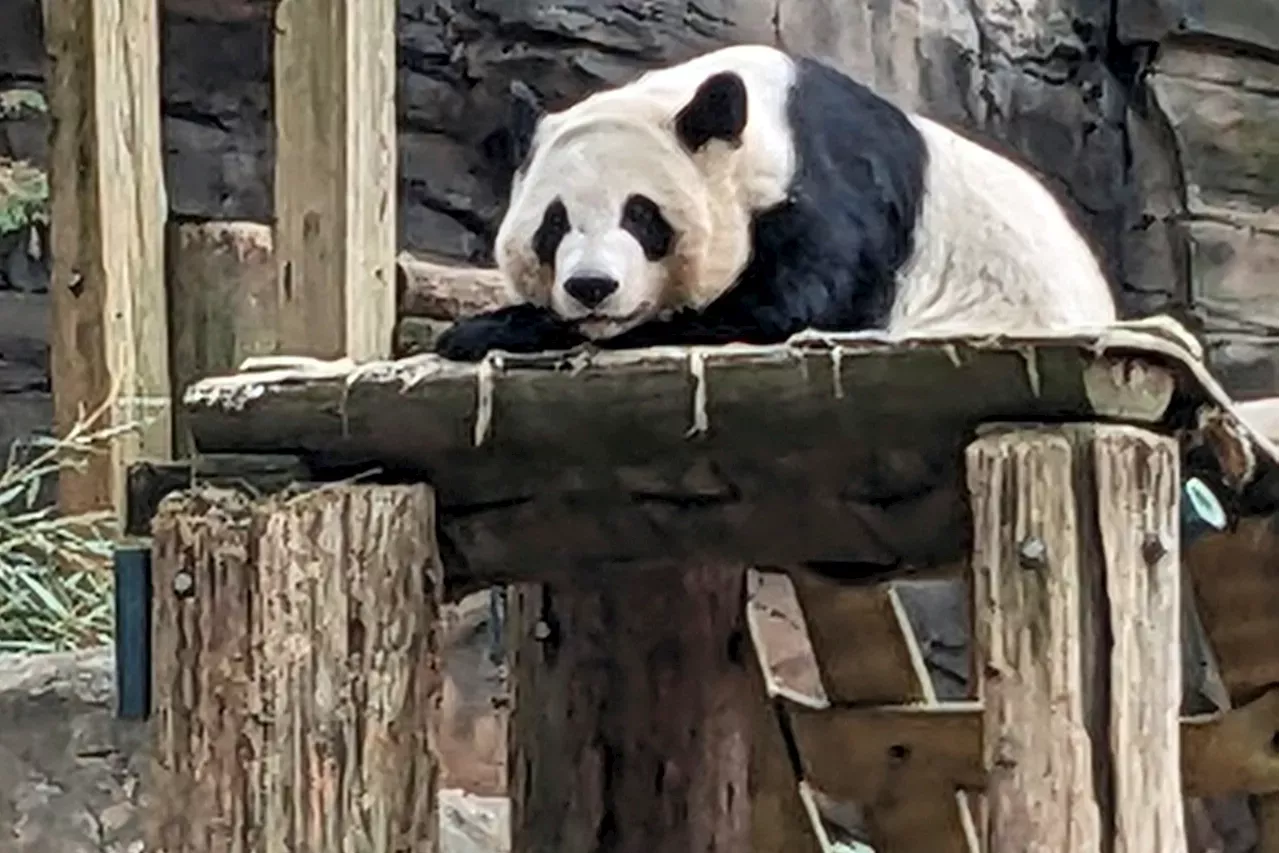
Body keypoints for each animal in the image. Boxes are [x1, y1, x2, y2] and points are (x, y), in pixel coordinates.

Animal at [435, 43, 1116, 361]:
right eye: (553, 224)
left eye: (642, 216)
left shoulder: (832, 195)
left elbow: (777, 310)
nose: (592, 287)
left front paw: (488, 329)